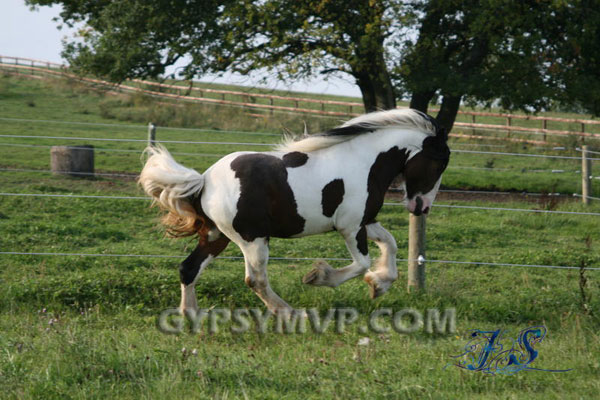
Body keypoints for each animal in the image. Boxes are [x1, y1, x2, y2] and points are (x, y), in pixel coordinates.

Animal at [139, 108, 450, 316]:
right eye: (438, 163)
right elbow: (362, 263)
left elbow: (391, 244)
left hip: (216, 235)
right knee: (255, 280)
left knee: (188, 268)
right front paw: (320, 277)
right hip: (252, 240)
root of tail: (204, 181)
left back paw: (191, 315)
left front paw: (379, 284)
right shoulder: (349, 227)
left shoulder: (366, 221)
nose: (422, 207)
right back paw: (290, 313)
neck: (364, 163)